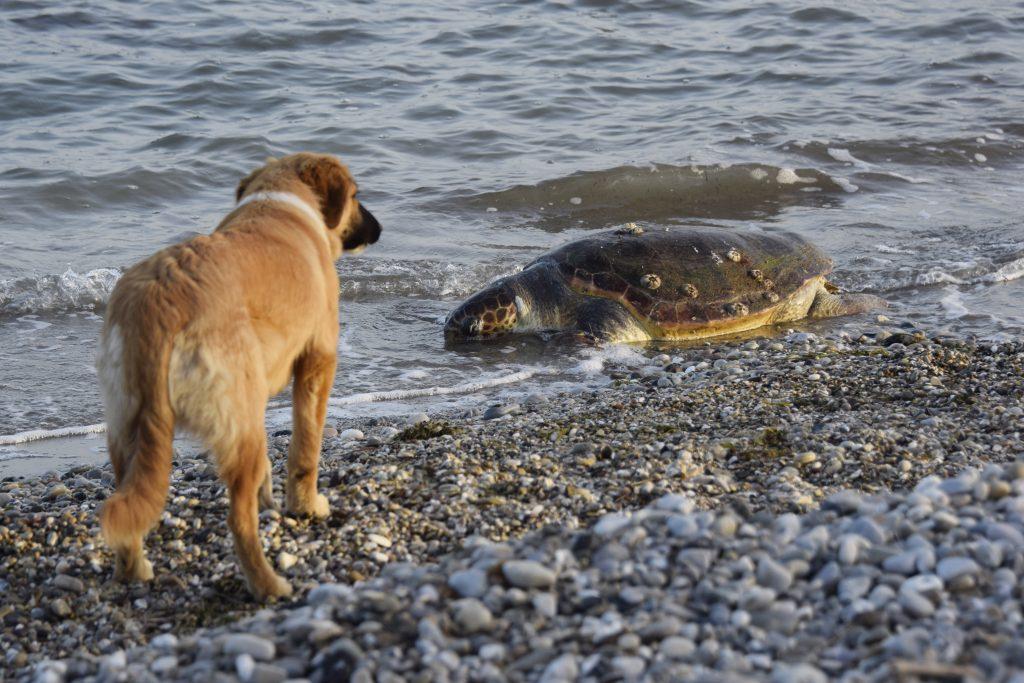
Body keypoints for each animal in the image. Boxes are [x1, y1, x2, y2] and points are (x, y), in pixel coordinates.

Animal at [93, 150, 376, 598]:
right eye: (355, 195)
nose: (378, 229)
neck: (282, 200)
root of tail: (160, 306)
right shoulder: (318, 360)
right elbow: (306, 450)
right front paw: (307, 506)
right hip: (234, 417)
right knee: (238, 520)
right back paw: (268, 584)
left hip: (127, 427)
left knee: (130, 502)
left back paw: (134, 570)